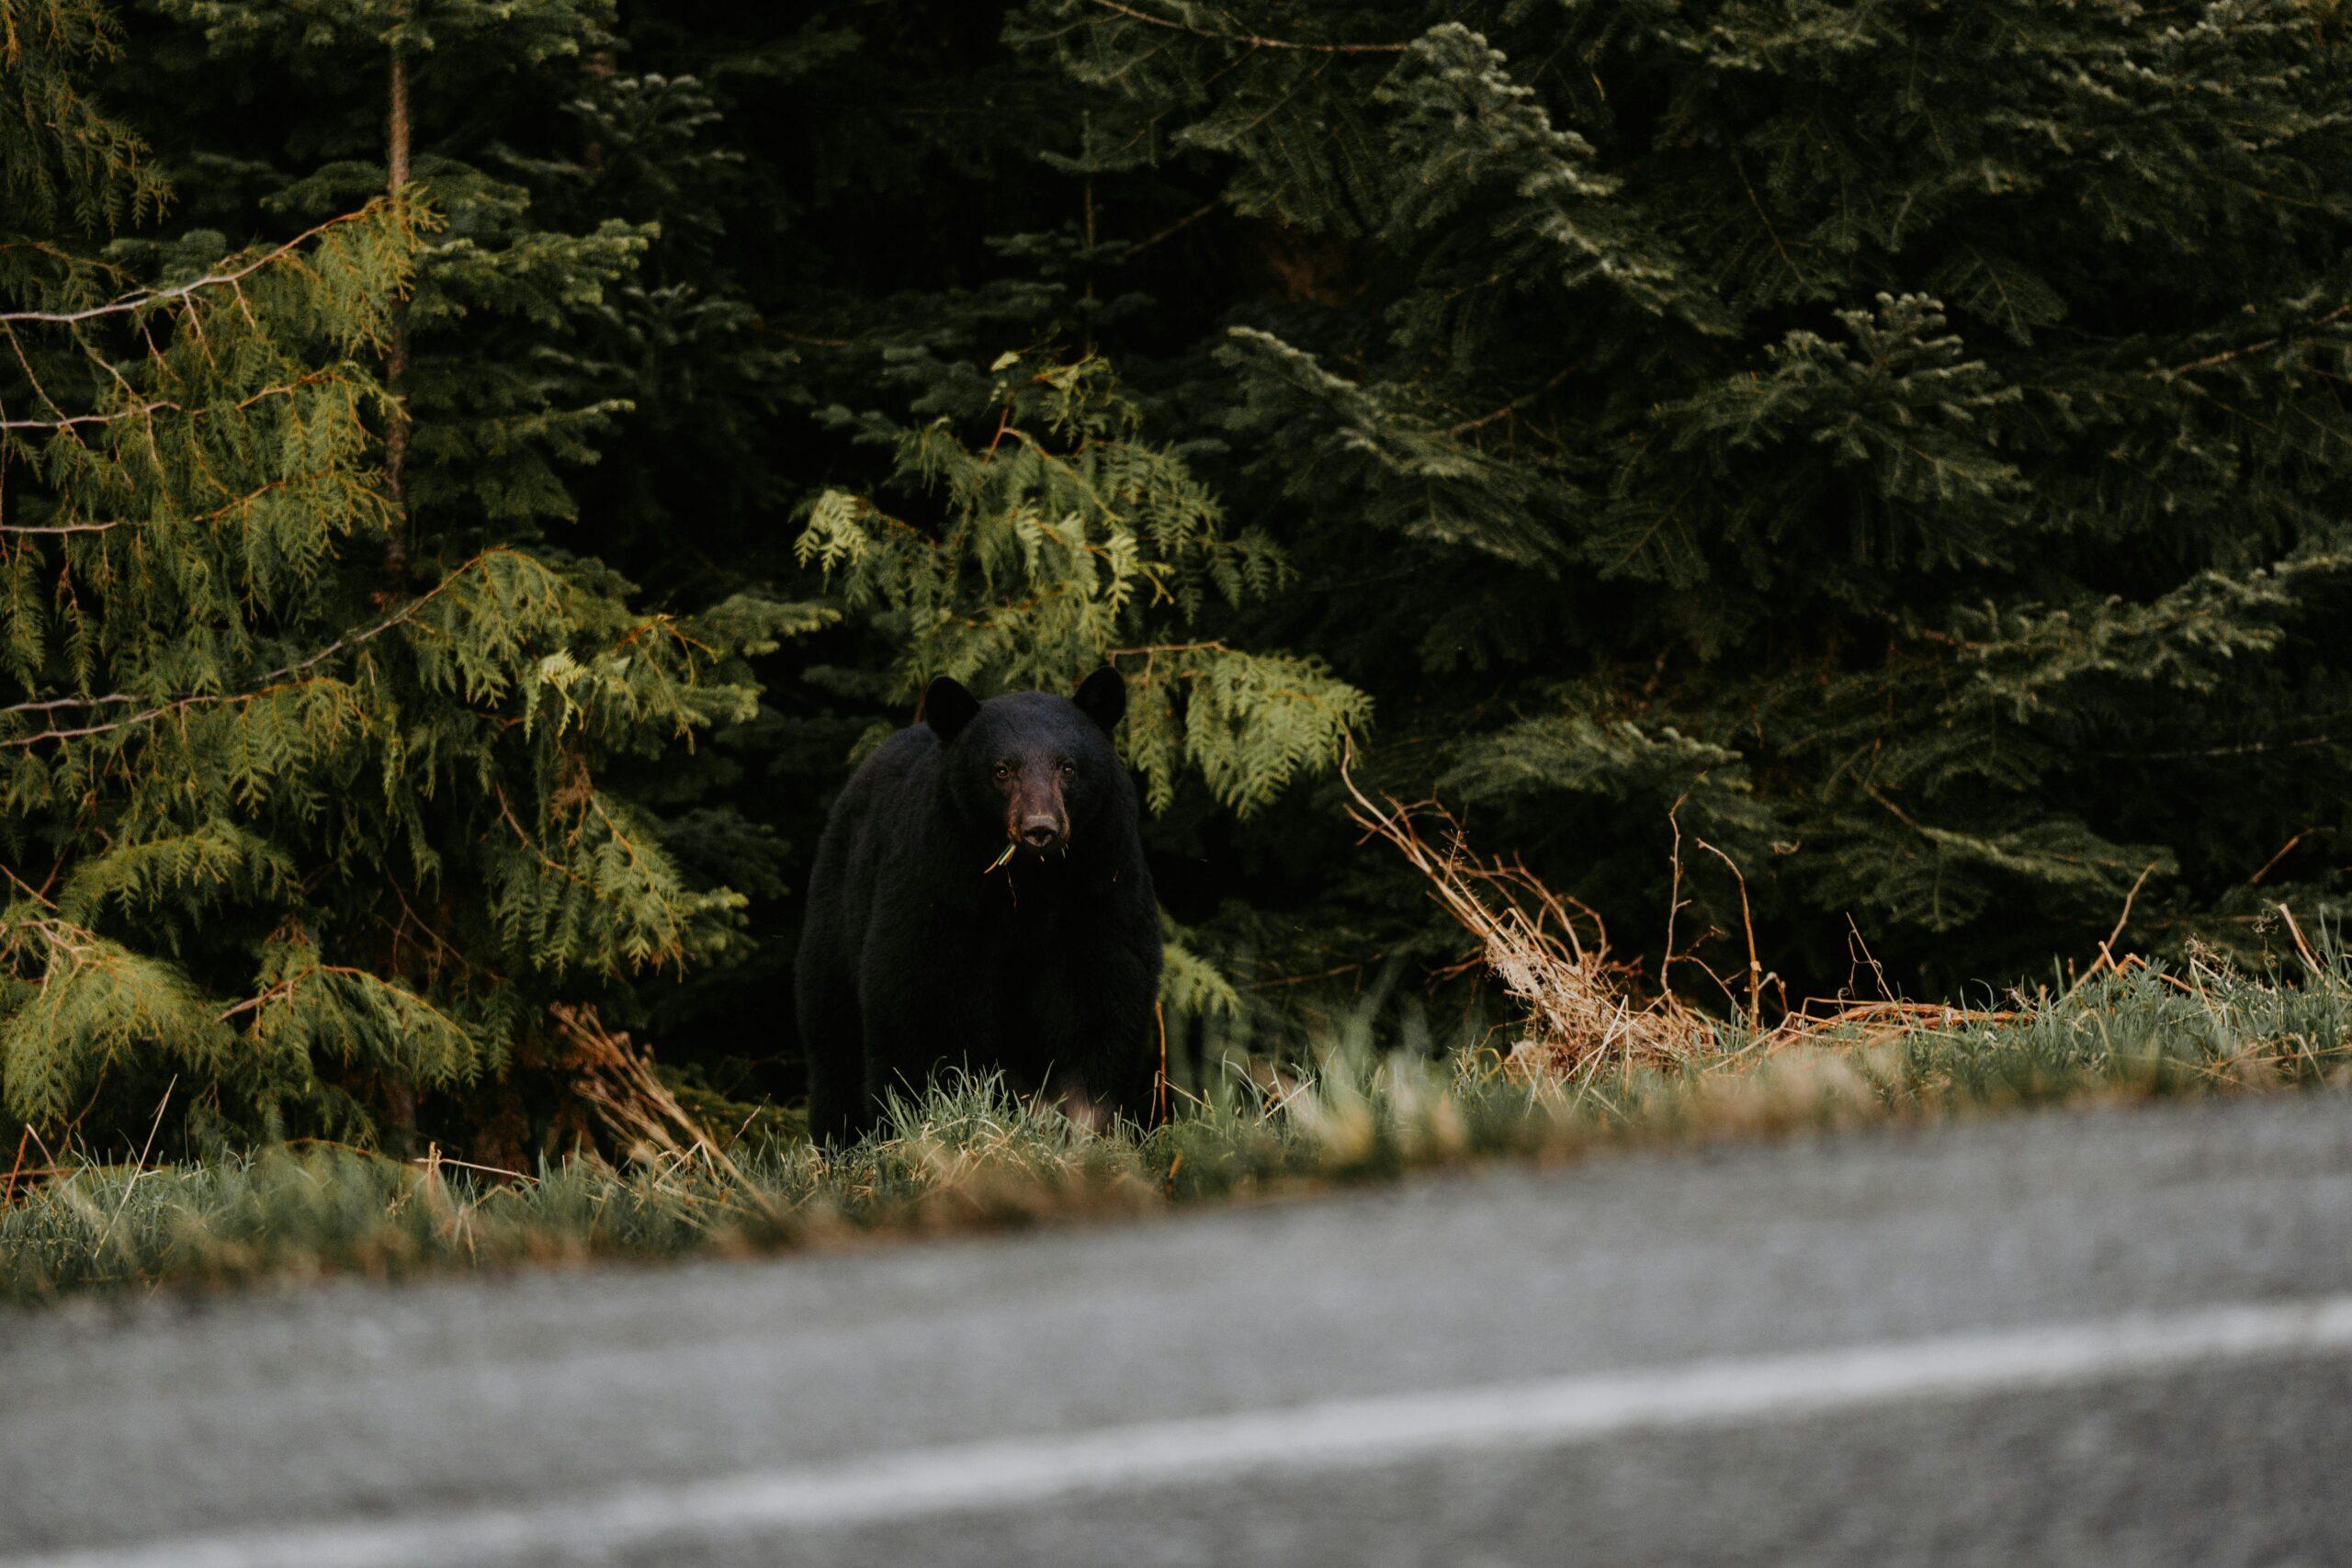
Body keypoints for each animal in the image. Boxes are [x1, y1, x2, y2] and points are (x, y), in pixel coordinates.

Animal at [795, 667, 1161, 1146]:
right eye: (1001, 770)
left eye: (1068, 767)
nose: (1040, 829)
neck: (1032, 884)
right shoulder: (942, 885)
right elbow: (924, 998)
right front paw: (935, 1122)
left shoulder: (1100, 887)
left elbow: (1100, 994)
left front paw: (1084, 1127)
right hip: (837, 912)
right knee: (833, 1037)